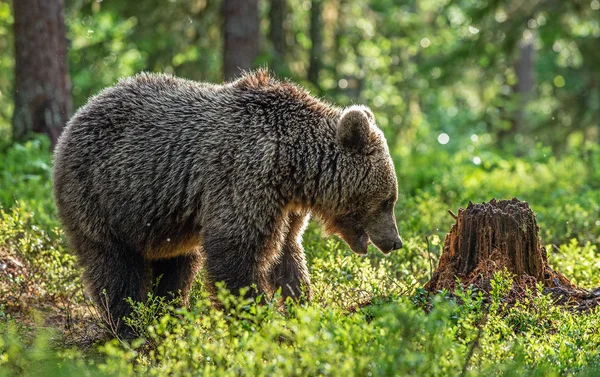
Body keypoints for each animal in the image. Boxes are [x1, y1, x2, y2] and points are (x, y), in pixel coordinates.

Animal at [54, 70, 404, 332]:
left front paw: (303, 307)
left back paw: (169, 316)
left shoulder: (283, 208)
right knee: (114, 267)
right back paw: (131, 327)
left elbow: (288, 255)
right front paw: (259, 322)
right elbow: (237, 254)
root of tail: (76, 117)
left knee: (177, 267)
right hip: (100, 197)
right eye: (388, 200)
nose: (396, 242)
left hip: (161, 222)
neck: (292, 167)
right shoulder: (244, 177)